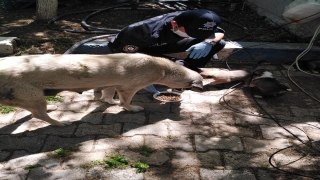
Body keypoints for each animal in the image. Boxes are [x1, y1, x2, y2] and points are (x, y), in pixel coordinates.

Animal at [0, 53, 202, 126]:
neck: (162, 68)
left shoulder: (112, 84)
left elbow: (107, 95)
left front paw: (109, 102)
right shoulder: (129, 88)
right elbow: (126, 102)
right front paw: (132, 109)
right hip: (33, 96)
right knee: (39, 115)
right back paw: (60, 123)